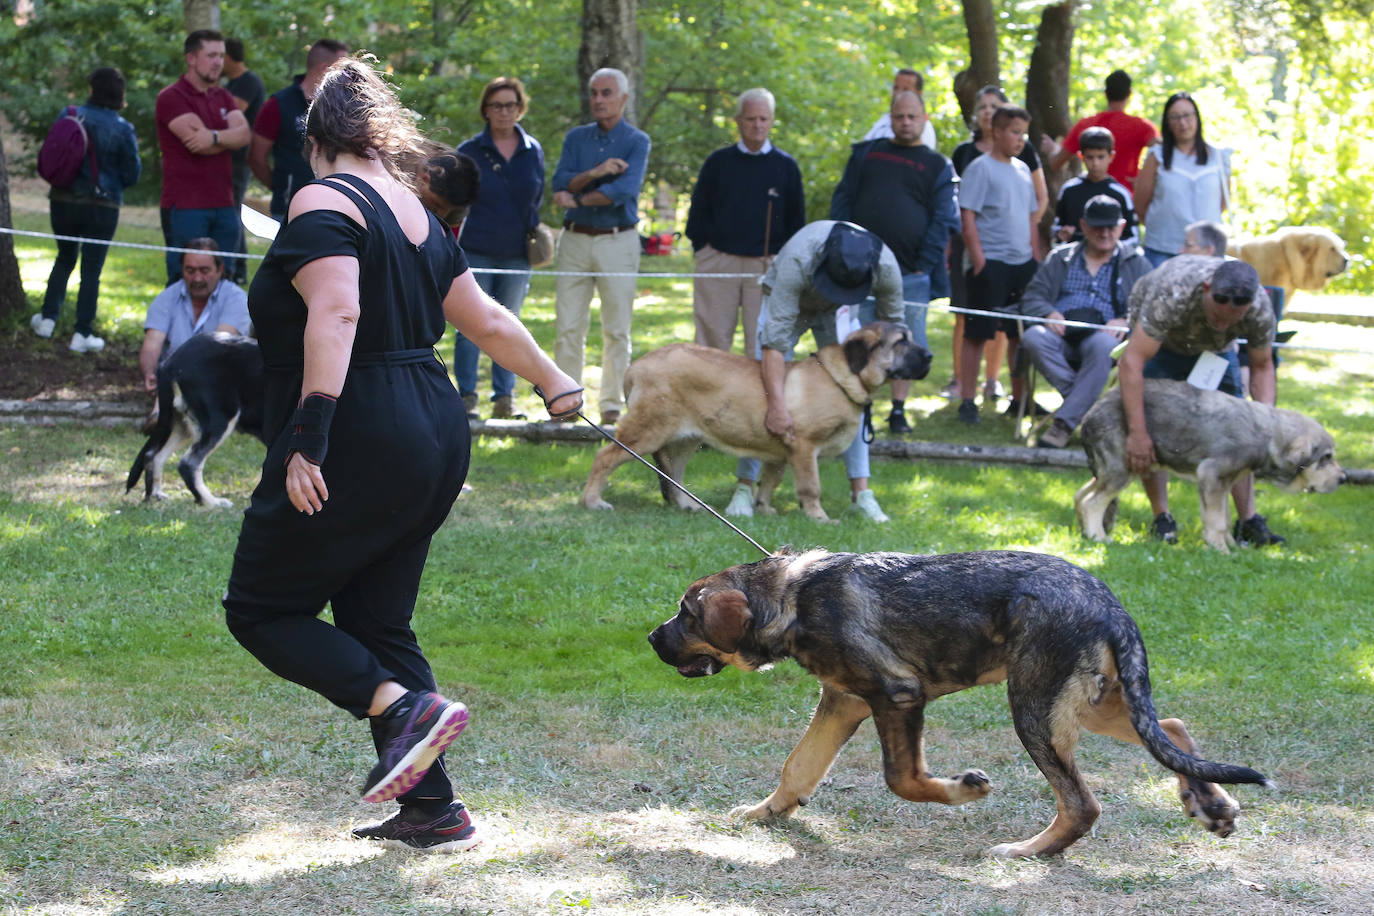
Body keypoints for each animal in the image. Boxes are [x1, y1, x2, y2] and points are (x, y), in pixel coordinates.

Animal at [125, 333, 265, 508]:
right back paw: (211, 501)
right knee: (188, 464)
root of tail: (171, 361)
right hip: (219, 419)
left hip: (181, 424)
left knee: (153, 455)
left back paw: (155, 494)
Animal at [579, 321, 934, 521]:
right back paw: (593, 501)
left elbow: (770, 480)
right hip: (647, 429)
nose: (930, 356)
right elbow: (811, 486)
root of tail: (635, 366)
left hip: (685, 439)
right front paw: (819, 517)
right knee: (605, 457)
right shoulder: (804, 447)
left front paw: (763, 509)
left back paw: (686, 505)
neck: (841, 376)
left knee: (674, 473)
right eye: (901, 341)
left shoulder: (782, 452)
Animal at [648, 552, 1269, 862]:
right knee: (1171, 725)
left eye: (686, 615)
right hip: (1083, 700)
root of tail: (1110, 605)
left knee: (1083, 804)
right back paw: (1210, 803)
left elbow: (901, 778)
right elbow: (797, 767)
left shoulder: (897, 694)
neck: (790, 597)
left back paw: (1029, 851)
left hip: (1035, 708)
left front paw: (963, 791)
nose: (652, 639)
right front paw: (766, 814)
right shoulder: (844, 700)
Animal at [1071, 376, 1341, 549]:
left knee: (1080, 494)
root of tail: (1092, 411)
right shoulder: (1212, 475)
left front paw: (1231, 545)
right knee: (1092, 502)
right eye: (1326, 458)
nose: (1343, 478)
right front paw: (1220, 549)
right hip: (1122, 471)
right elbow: (1217, 521)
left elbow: (1223, 517)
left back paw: (1084, 529)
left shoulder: (1225, 482)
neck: (1267, 435)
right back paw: (1098, 537)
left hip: (1110, 471)